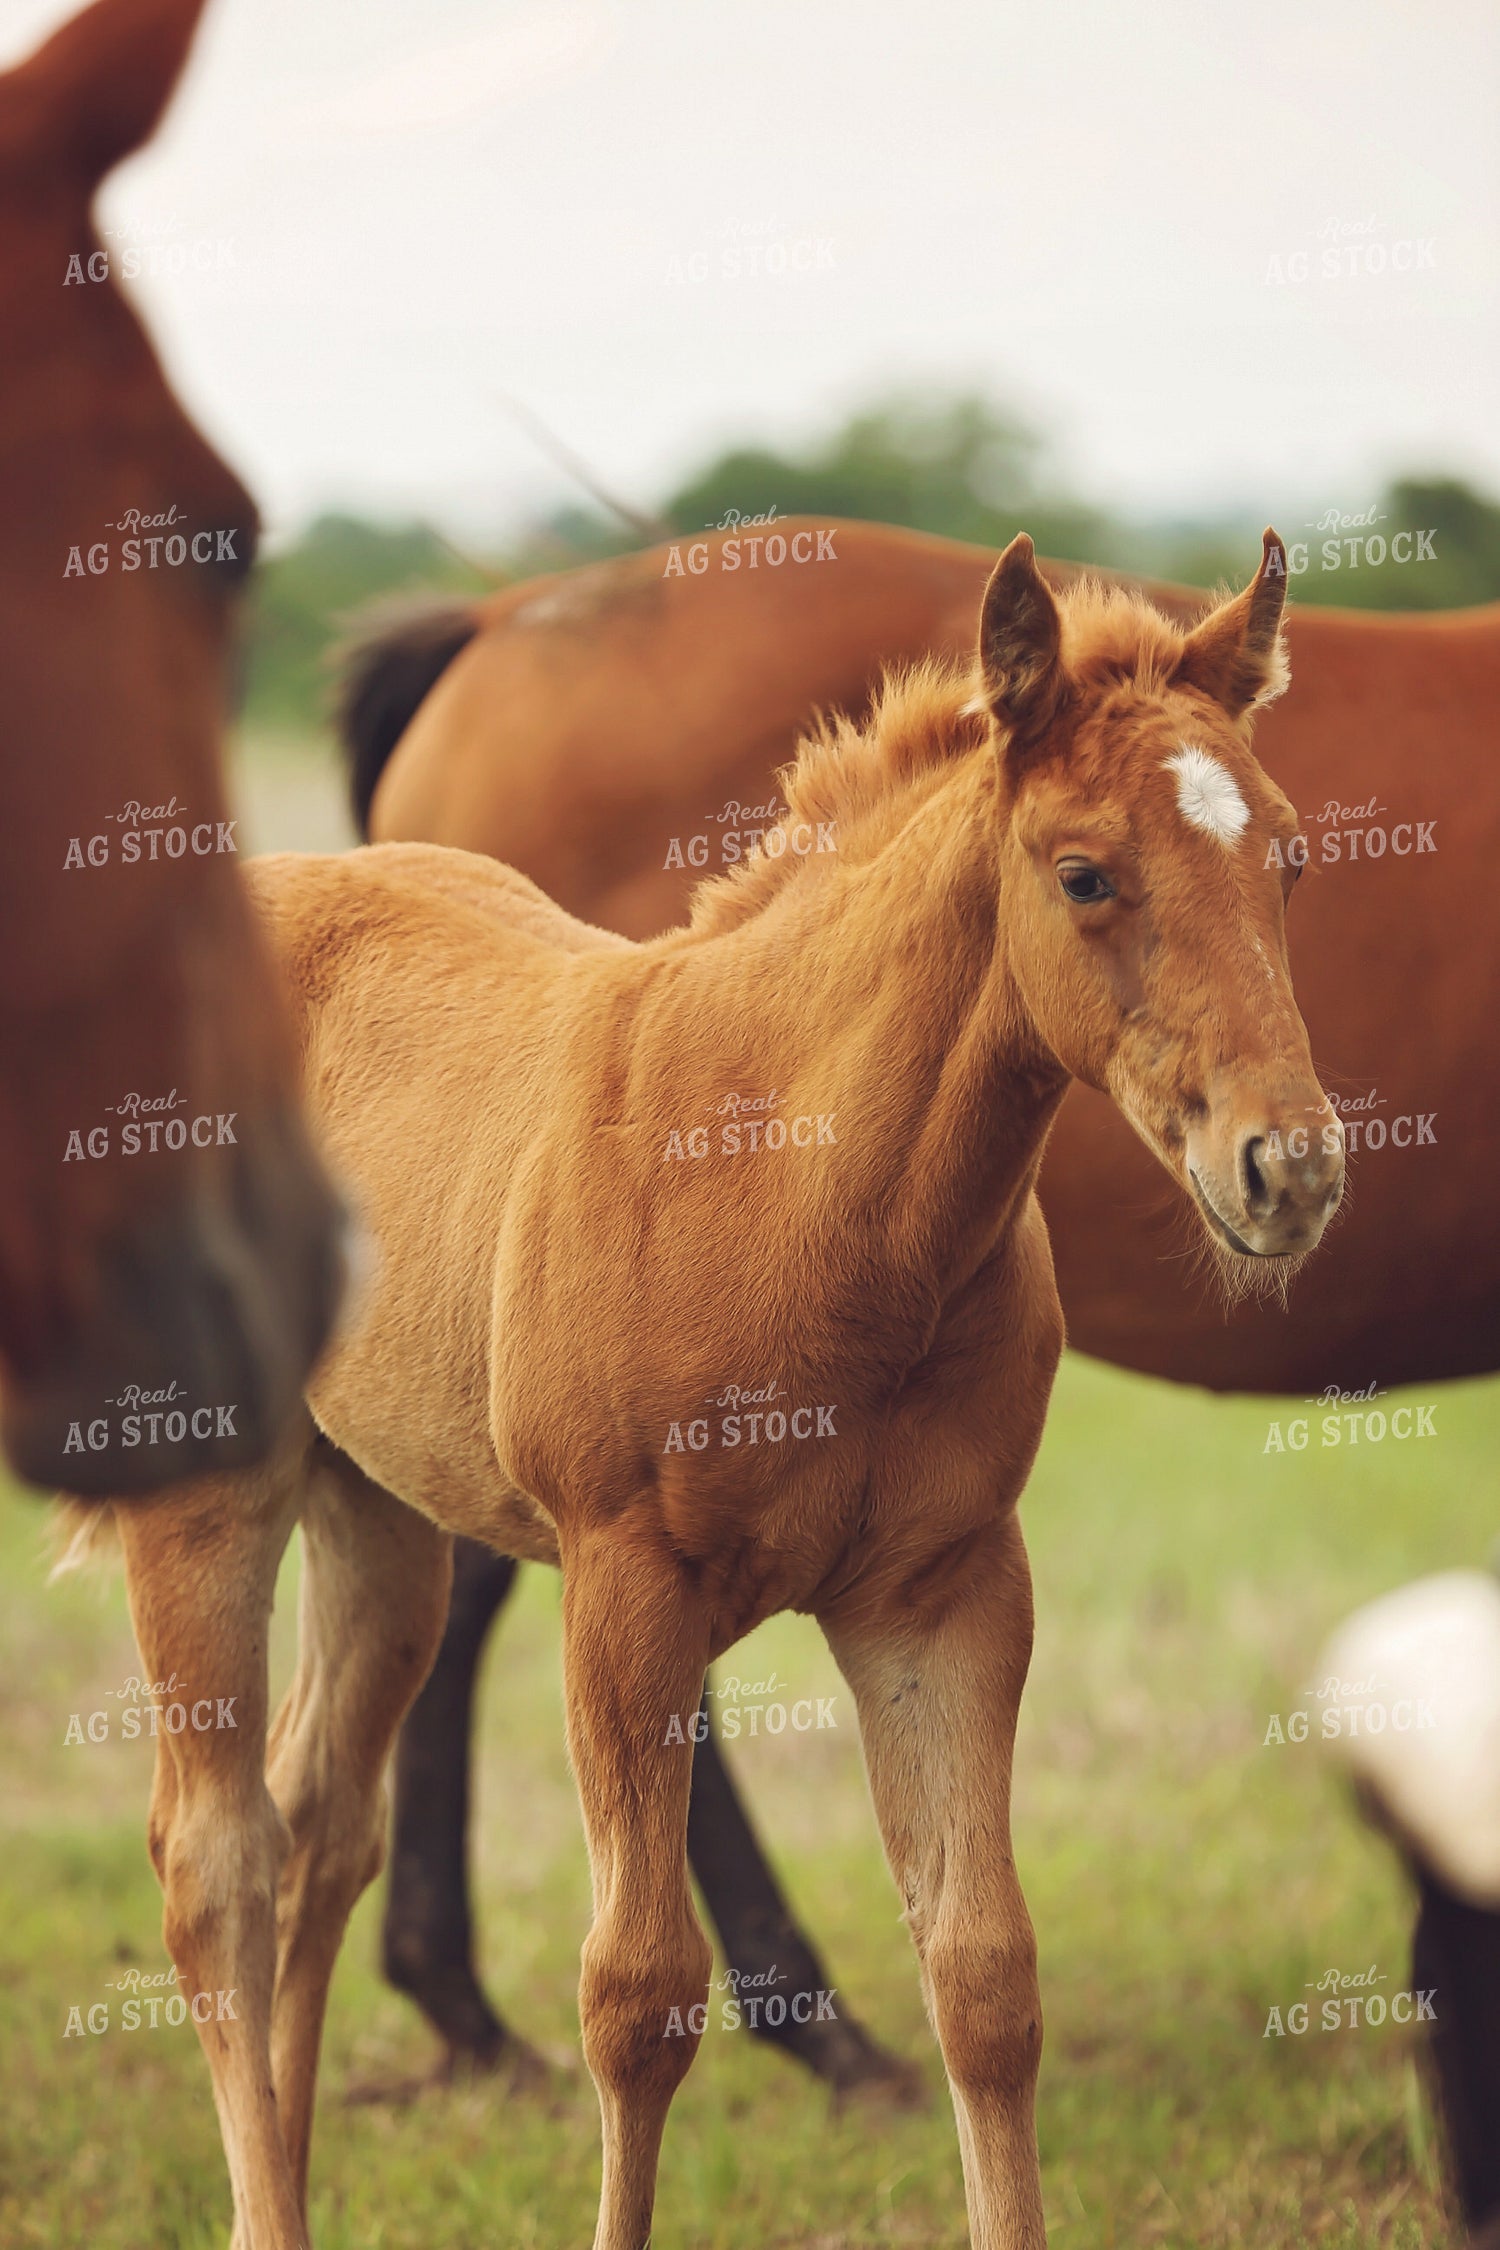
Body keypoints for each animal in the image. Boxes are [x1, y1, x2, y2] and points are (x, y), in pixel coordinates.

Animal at [69, 536, 1344, 2250]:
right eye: (1085, 873)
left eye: (1288, 857)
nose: (1289, 1167)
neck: (805, 1192)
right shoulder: (626, 1589)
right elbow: (638, 1993)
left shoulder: (945, 1592)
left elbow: (985, 1975)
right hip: (210, 1487)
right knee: (215, 1863)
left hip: (383, 1519)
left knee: (319, 1825)